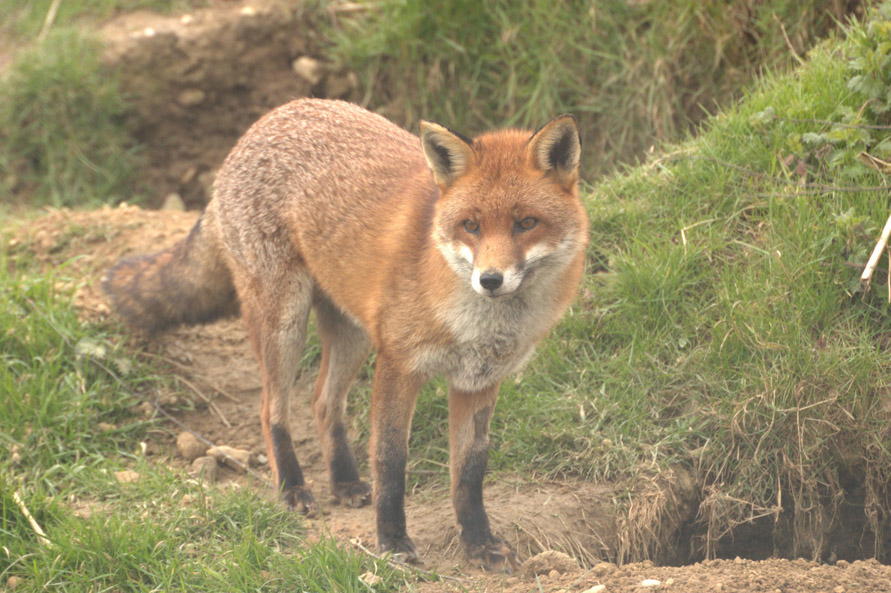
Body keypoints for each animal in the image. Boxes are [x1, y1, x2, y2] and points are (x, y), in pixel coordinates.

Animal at [103, 98, 588, 571]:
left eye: (526, 223)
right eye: (471, 225)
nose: (489, 279)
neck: (478, 323)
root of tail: (271, 115)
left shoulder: (479, 381)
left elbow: (469, 473)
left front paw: (479, 544)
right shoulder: (398, 364)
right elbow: (390, 462)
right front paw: (392, 543)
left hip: (352, 332)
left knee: (322, 401)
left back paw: (345, 481)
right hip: (284, 321)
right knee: (271, 408)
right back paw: (292, 487)